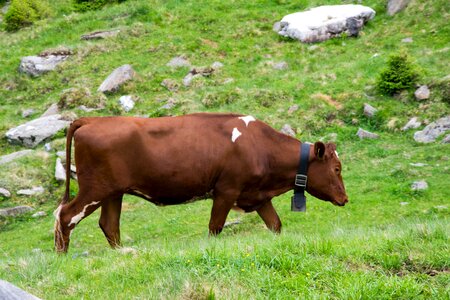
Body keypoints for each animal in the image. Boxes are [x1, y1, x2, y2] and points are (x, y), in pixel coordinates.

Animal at [53, 113, 348, 252]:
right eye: (336, 168)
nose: (345, 199)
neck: (259, 146)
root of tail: (92, 119)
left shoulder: (258, 196)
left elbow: (275, 225)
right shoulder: (226, 190)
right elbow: (215, 227)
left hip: (114, 192)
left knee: (109, 225)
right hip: (94, 188)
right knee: (65, 215)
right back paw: (61, 256)